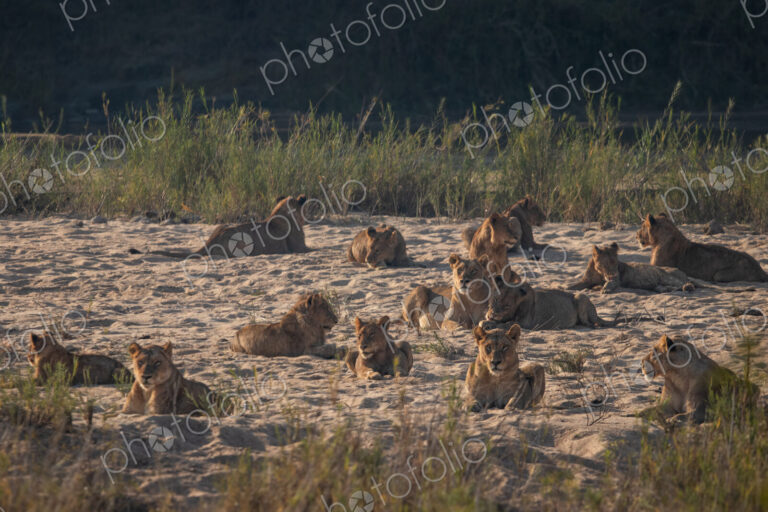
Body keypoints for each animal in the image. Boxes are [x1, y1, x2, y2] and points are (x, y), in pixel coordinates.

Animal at [486, 278, 614, 329]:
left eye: (507, 306)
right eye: (495, 300)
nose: (492, 315)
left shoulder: (525, 323)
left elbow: (506, 324)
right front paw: (487, 323)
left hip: (581, 296)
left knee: (590, 324)